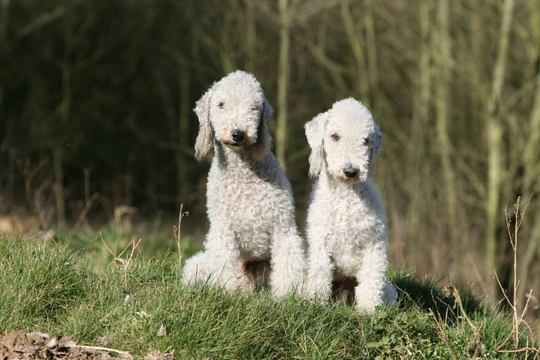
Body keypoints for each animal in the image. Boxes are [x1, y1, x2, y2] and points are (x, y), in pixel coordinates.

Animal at [181, 71, 306, 298]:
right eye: (221, 104)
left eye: (255, 107)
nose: (238, 134)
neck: (244, 176)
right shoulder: (223, 230)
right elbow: (223, 259)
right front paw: (225, 291)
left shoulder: (283, 227)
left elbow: (288, 264)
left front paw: (286, 296)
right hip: (197, 266)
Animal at [304, 98, 396, 312]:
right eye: (335, 136)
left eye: (366, 140)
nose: (351, 171)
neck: (346, 198)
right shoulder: (320, 242)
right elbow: (320, 274)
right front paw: (315, 304)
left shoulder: (374, 243)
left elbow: (370, 280)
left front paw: (369, 311)